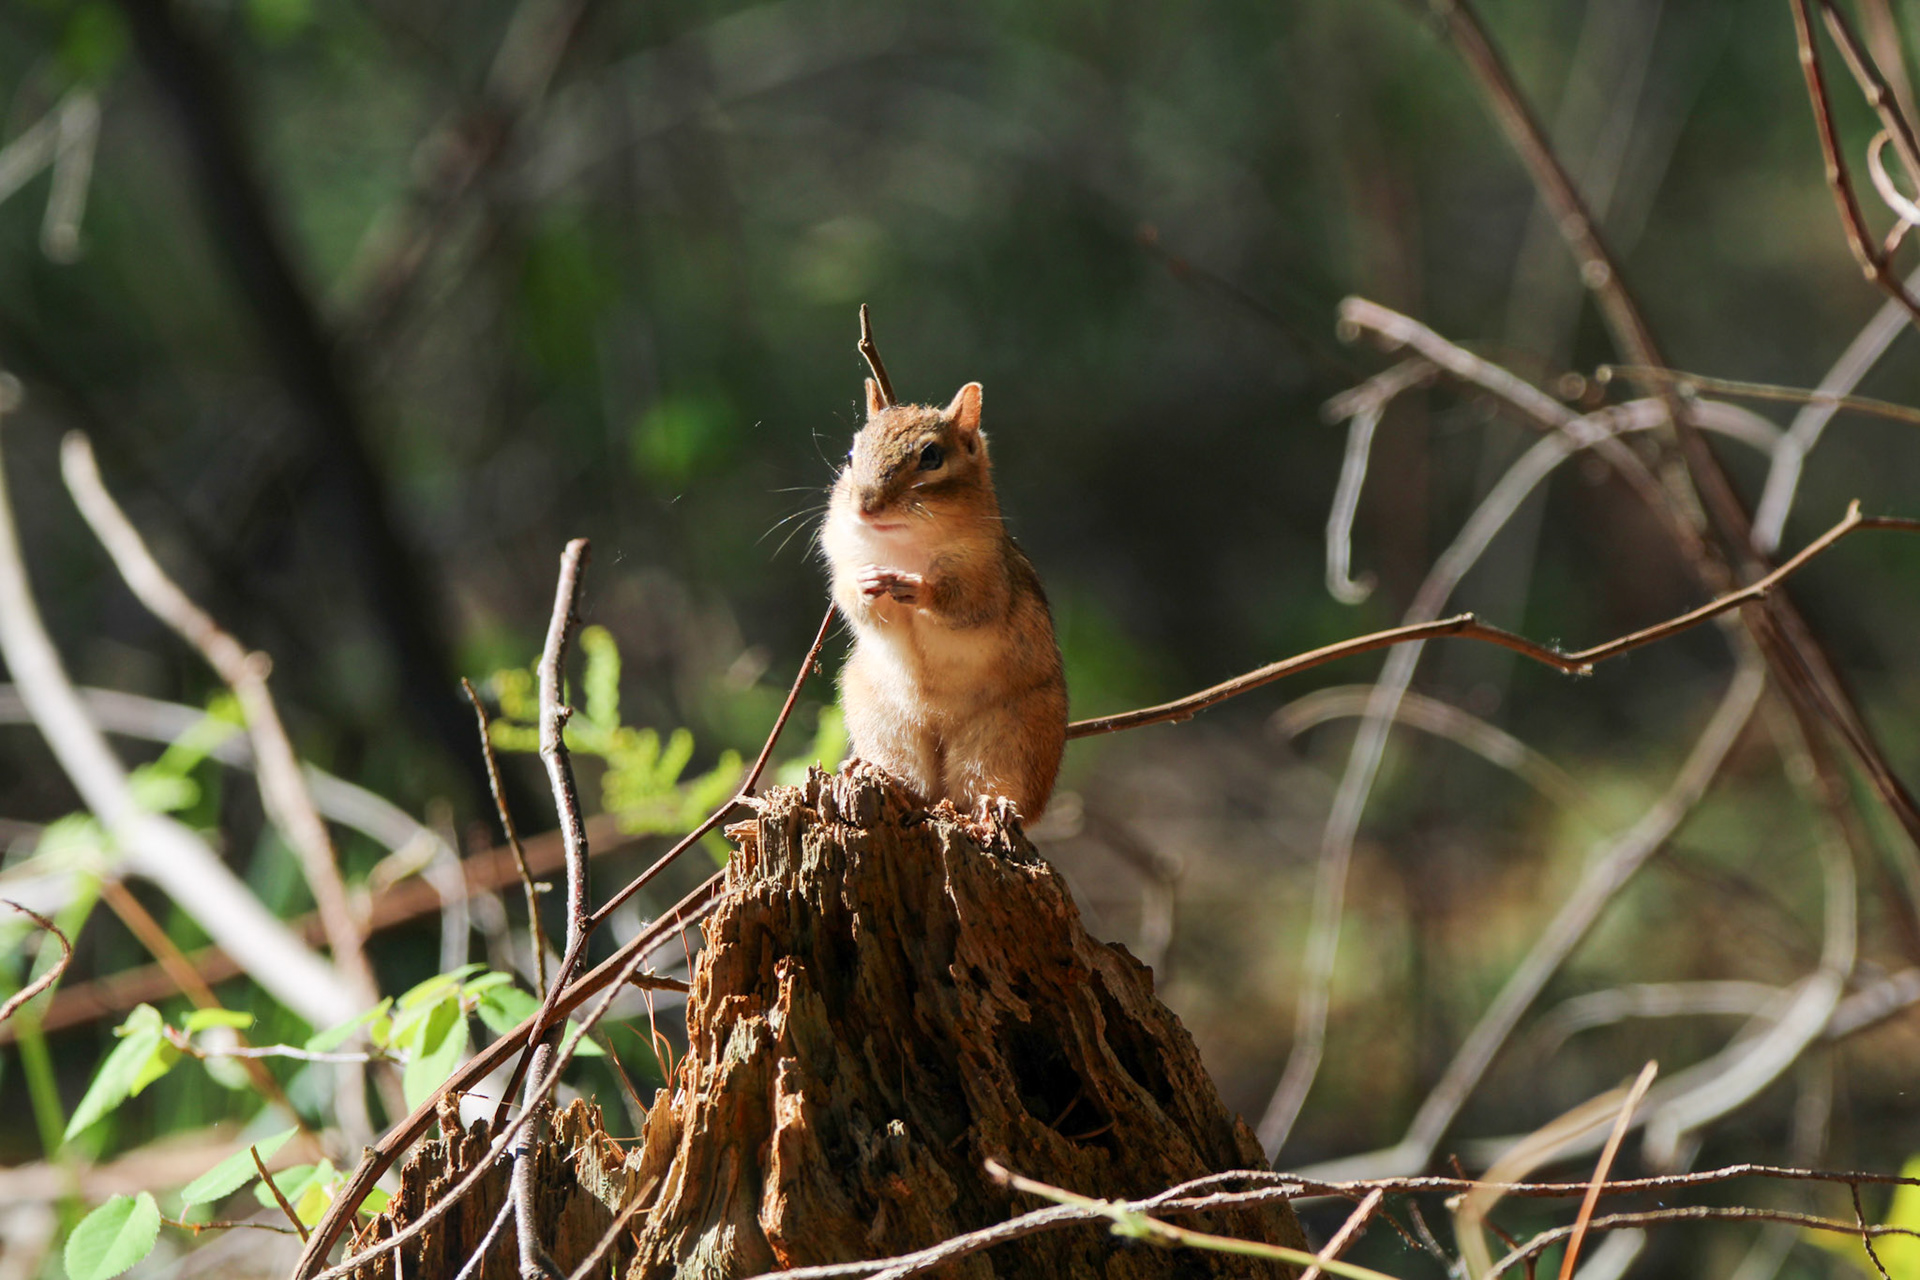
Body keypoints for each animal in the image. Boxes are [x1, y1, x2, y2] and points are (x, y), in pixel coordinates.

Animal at [820, 378, 1068, 823]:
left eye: (931, 456)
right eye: (850, 455)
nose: (866, 506)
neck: (902, 547)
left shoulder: (986, 577)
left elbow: (965, 606)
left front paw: (920, 588)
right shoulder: (842, 557)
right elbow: (852, 601)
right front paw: (867, 584)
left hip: (1009, 735)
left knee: (993, 785)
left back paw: (995, 805)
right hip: (885, 723)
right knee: (908, 774)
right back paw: (877, 775)